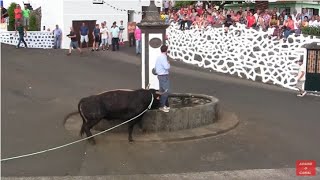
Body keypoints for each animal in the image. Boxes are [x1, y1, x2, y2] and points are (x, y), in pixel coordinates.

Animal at [0, 93, 155, 162]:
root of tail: (85, 99)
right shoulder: (134, 116)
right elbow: (132, 126)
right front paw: (132, 138)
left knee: (84, 126)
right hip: (94, 118)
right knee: (86, 127)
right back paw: (92, 141)